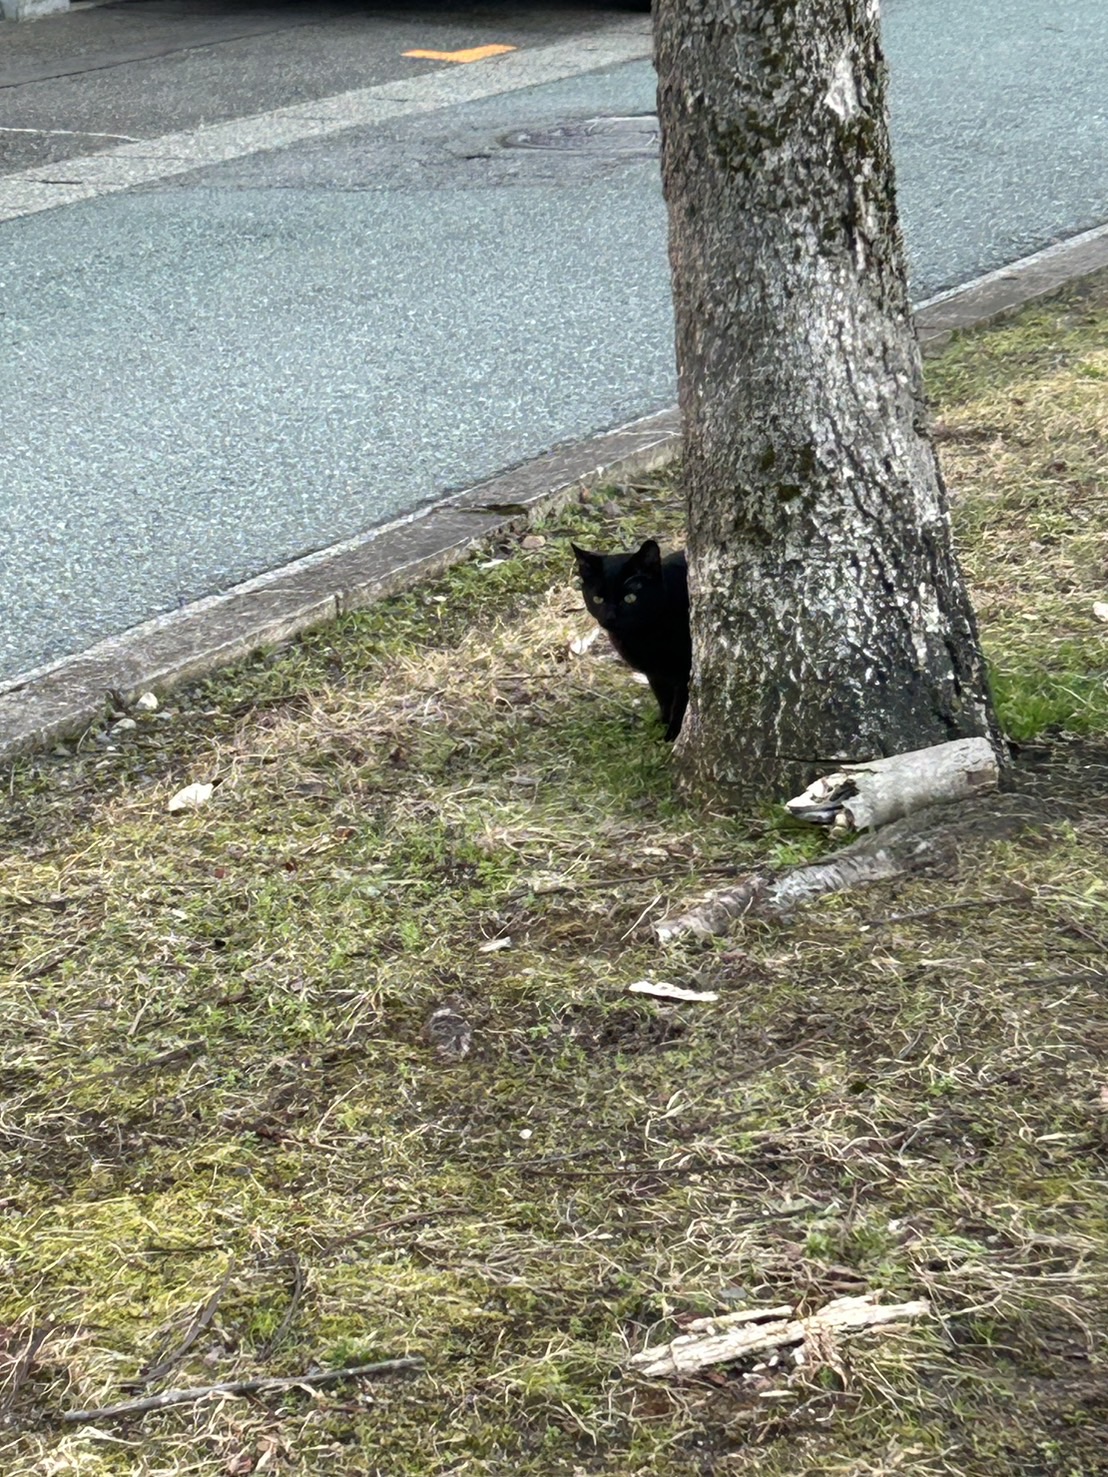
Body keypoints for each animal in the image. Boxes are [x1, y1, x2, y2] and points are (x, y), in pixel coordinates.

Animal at [576, 537, 691, 738]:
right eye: (598, 599)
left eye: (630, 598)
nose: (610, 617)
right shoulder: (655, 674)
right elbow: (664, 699)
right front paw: (661, 723)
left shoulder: (685, 672)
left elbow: (680, 705)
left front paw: (672, 735)